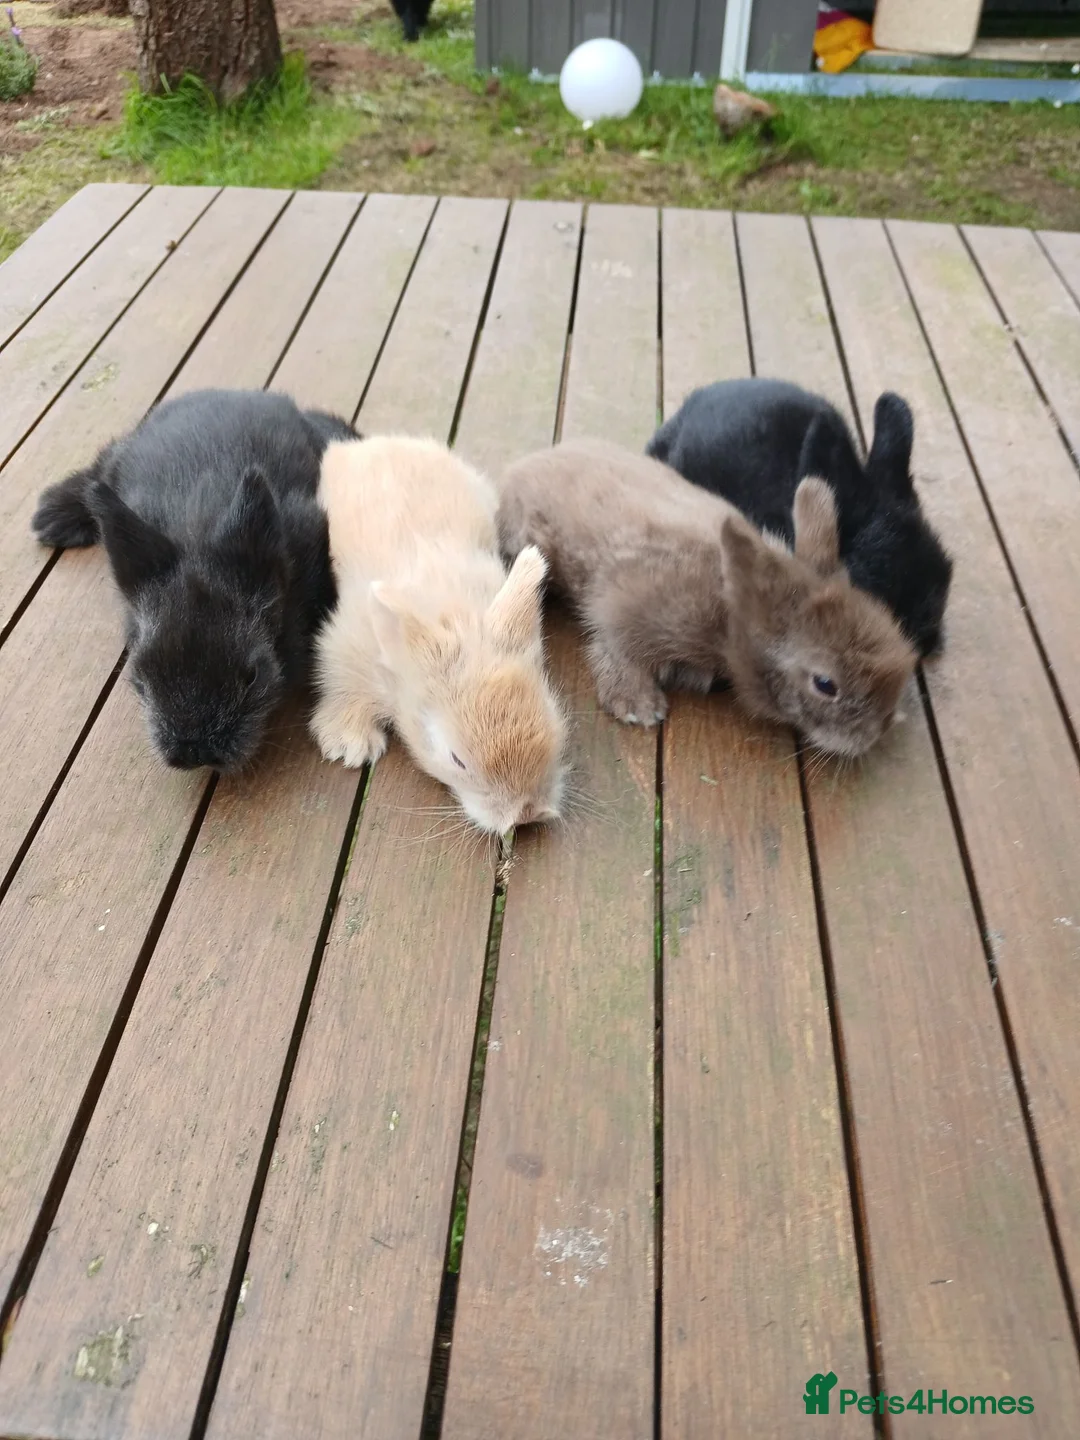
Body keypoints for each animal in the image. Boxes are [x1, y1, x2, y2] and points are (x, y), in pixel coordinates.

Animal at [31, 388, 358, 774]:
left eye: (253, 674)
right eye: (141, 675)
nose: (194, 753)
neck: (197, 525)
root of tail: (234, 393)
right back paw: (51, 515)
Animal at [310, 435, 569, 836]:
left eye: (551, 715)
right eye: (456, 760)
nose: (526, 814)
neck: (456, 613)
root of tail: (379, 442)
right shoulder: (345, 648)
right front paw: (349, 745)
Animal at [497, 438, 917, 758]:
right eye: (825, 684)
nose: (878, 730)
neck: (731, 616)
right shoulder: (622, 607)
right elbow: (615, 651)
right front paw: (639, 708)